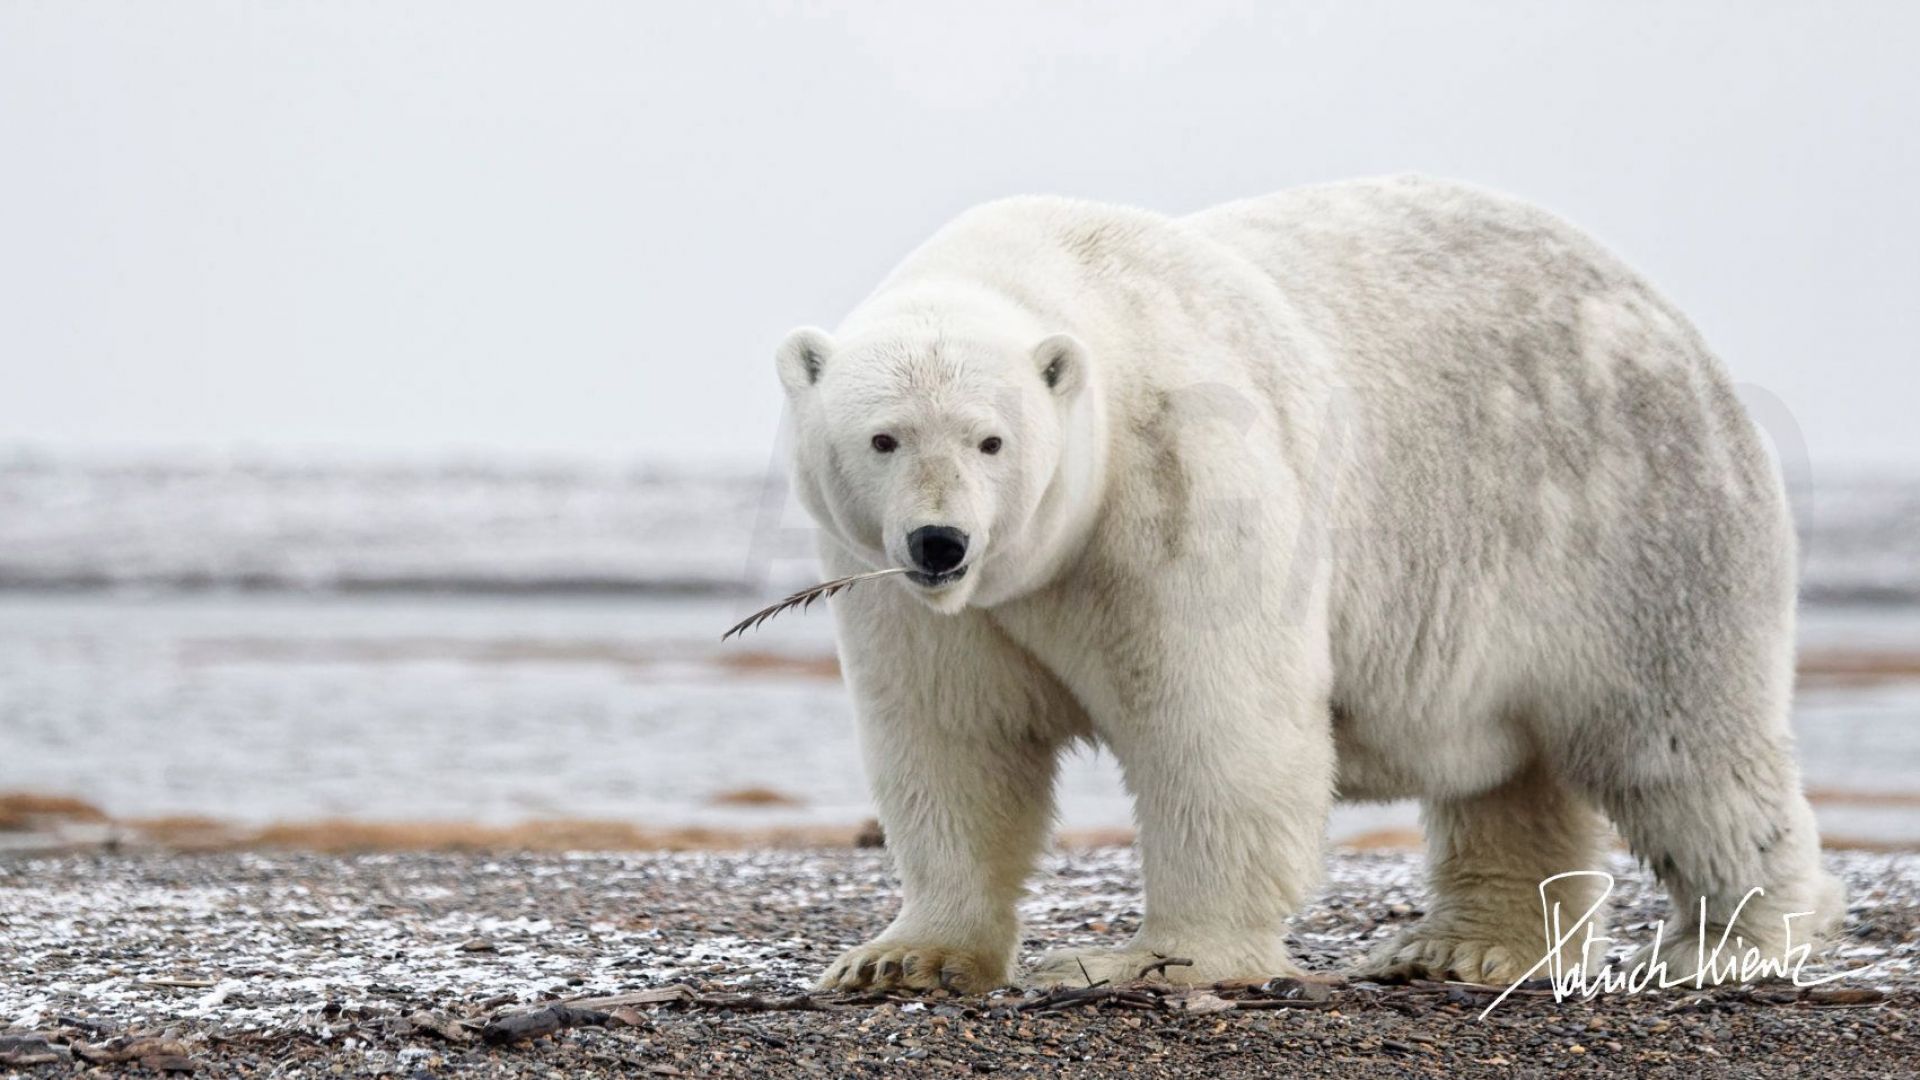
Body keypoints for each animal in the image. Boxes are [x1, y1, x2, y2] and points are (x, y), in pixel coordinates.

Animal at [779, 176, 1843, 991]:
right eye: (883, 438)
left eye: (991, 440)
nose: (941, 542)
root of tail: (1663, 314)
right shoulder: (895, 586)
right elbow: (954, 738)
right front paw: (900, 959)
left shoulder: (1183, 482)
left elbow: (1216, 723)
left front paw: (1153, 961)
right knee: (1517, 774)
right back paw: (1464, 947)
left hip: (1634, 524)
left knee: (1682, 746)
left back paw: (1737, 942)